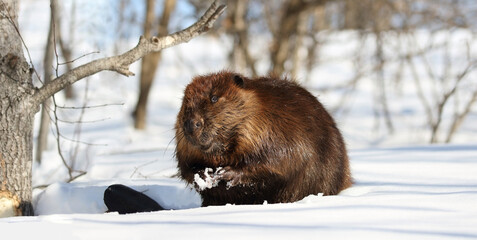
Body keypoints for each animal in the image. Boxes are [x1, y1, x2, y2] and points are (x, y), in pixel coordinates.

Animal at [175, 71, 350, 206]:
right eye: (185, 101)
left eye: (214, 98)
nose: (191, 124)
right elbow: (186, 168)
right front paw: (203, 175)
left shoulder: (279, 130)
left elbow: (281, 162)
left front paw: (228, 173)